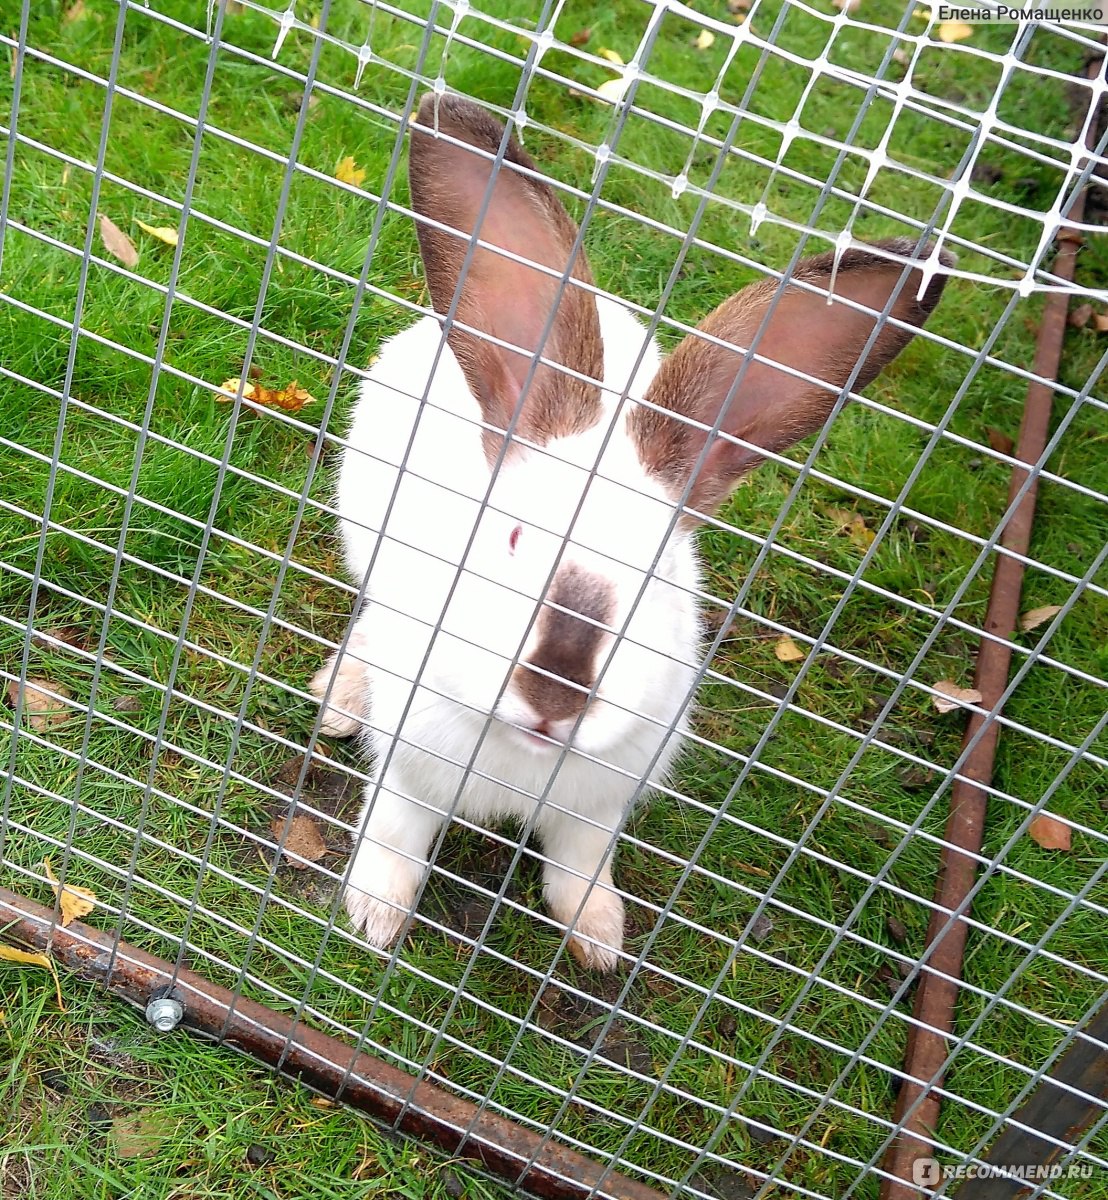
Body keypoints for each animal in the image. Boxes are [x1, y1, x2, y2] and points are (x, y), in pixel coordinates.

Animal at [312, 96, 955, 974]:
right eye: (510, 538)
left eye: (661, 574)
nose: (555, 693)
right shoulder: (410, 767)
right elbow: (394, 836)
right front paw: (375, 917)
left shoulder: (602, 801)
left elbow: (580, 864)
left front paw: (598, 938)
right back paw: (343, 695)